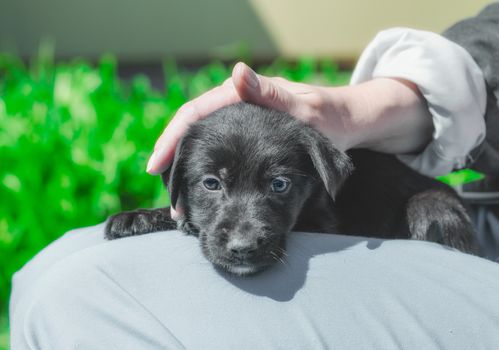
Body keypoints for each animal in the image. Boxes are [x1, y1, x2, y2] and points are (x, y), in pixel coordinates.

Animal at [107, 102, 482, 274]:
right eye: (211, 183)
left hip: (435, 207)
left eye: (279, 184)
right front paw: (139, 217)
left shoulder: (325, 222)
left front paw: (181, 222)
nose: (242, 249)